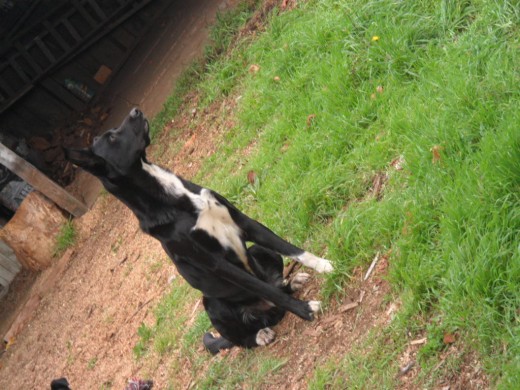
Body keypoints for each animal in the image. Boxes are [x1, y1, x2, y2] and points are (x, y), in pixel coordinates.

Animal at [66, 107, 334, 354]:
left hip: (260, 251)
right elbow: (265, 288)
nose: (135, 110)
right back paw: (260, 334)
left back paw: (292, 281)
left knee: (276, 283)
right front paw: (305, 309)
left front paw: (325, 265)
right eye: (112, 138)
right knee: (246, 332)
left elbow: (292, 249)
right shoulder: (215, 262)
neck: (174, 198)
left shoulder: (244, 223)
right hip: (212, 304)